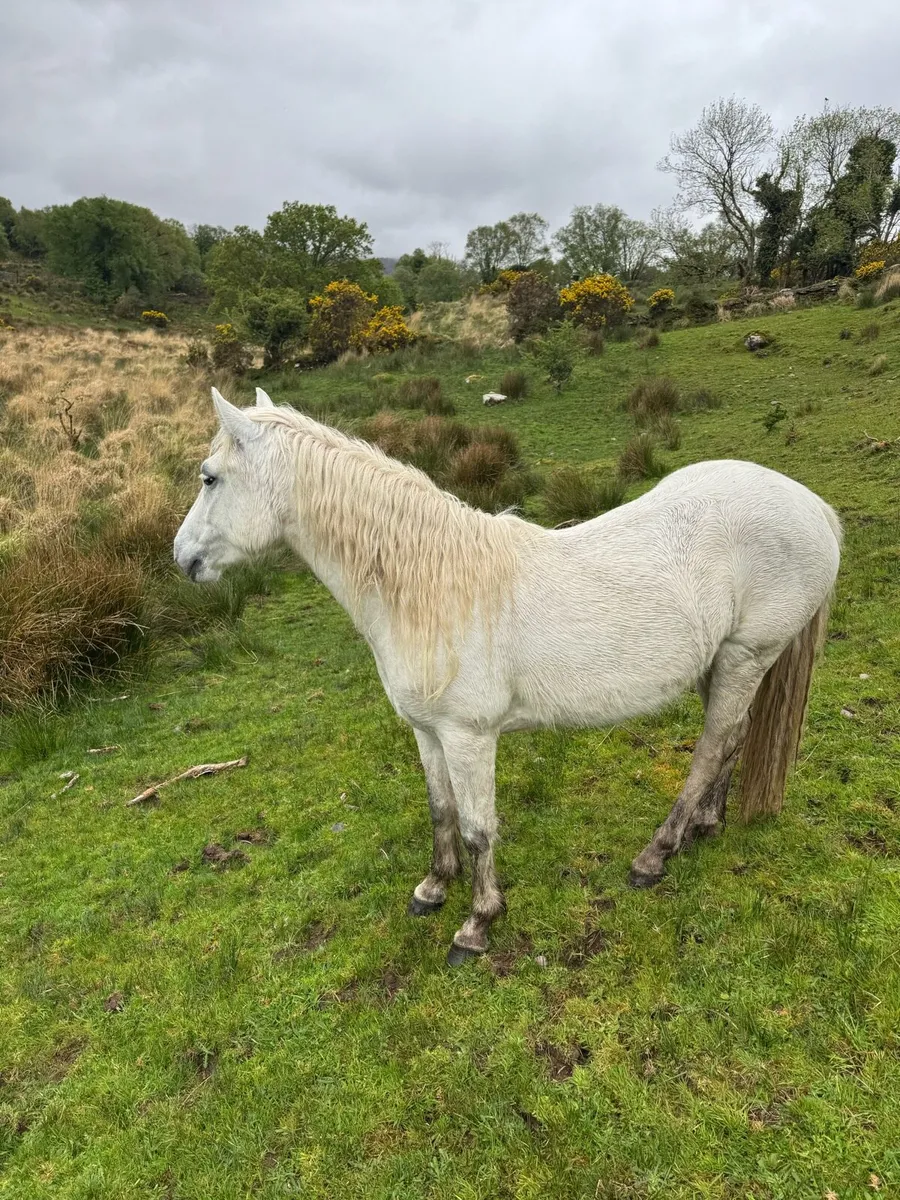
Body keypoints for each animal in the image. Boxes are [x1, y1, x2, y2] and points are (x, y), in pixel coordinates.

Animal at [174, 387, 841, 965]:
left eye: (210, 477)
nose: (183, 559)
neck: (428, 586)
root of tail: (814, 507)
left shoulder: (469, 737)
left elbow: (477, 829)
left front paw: (477, 925)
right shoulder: (427, 732)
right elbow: (440, 810)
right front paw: (432, 890)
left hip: (746, 656)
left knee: (710, 748)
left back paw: (654, 857)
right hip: (721, 663)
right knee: (732, 739)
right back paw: (704, 826)